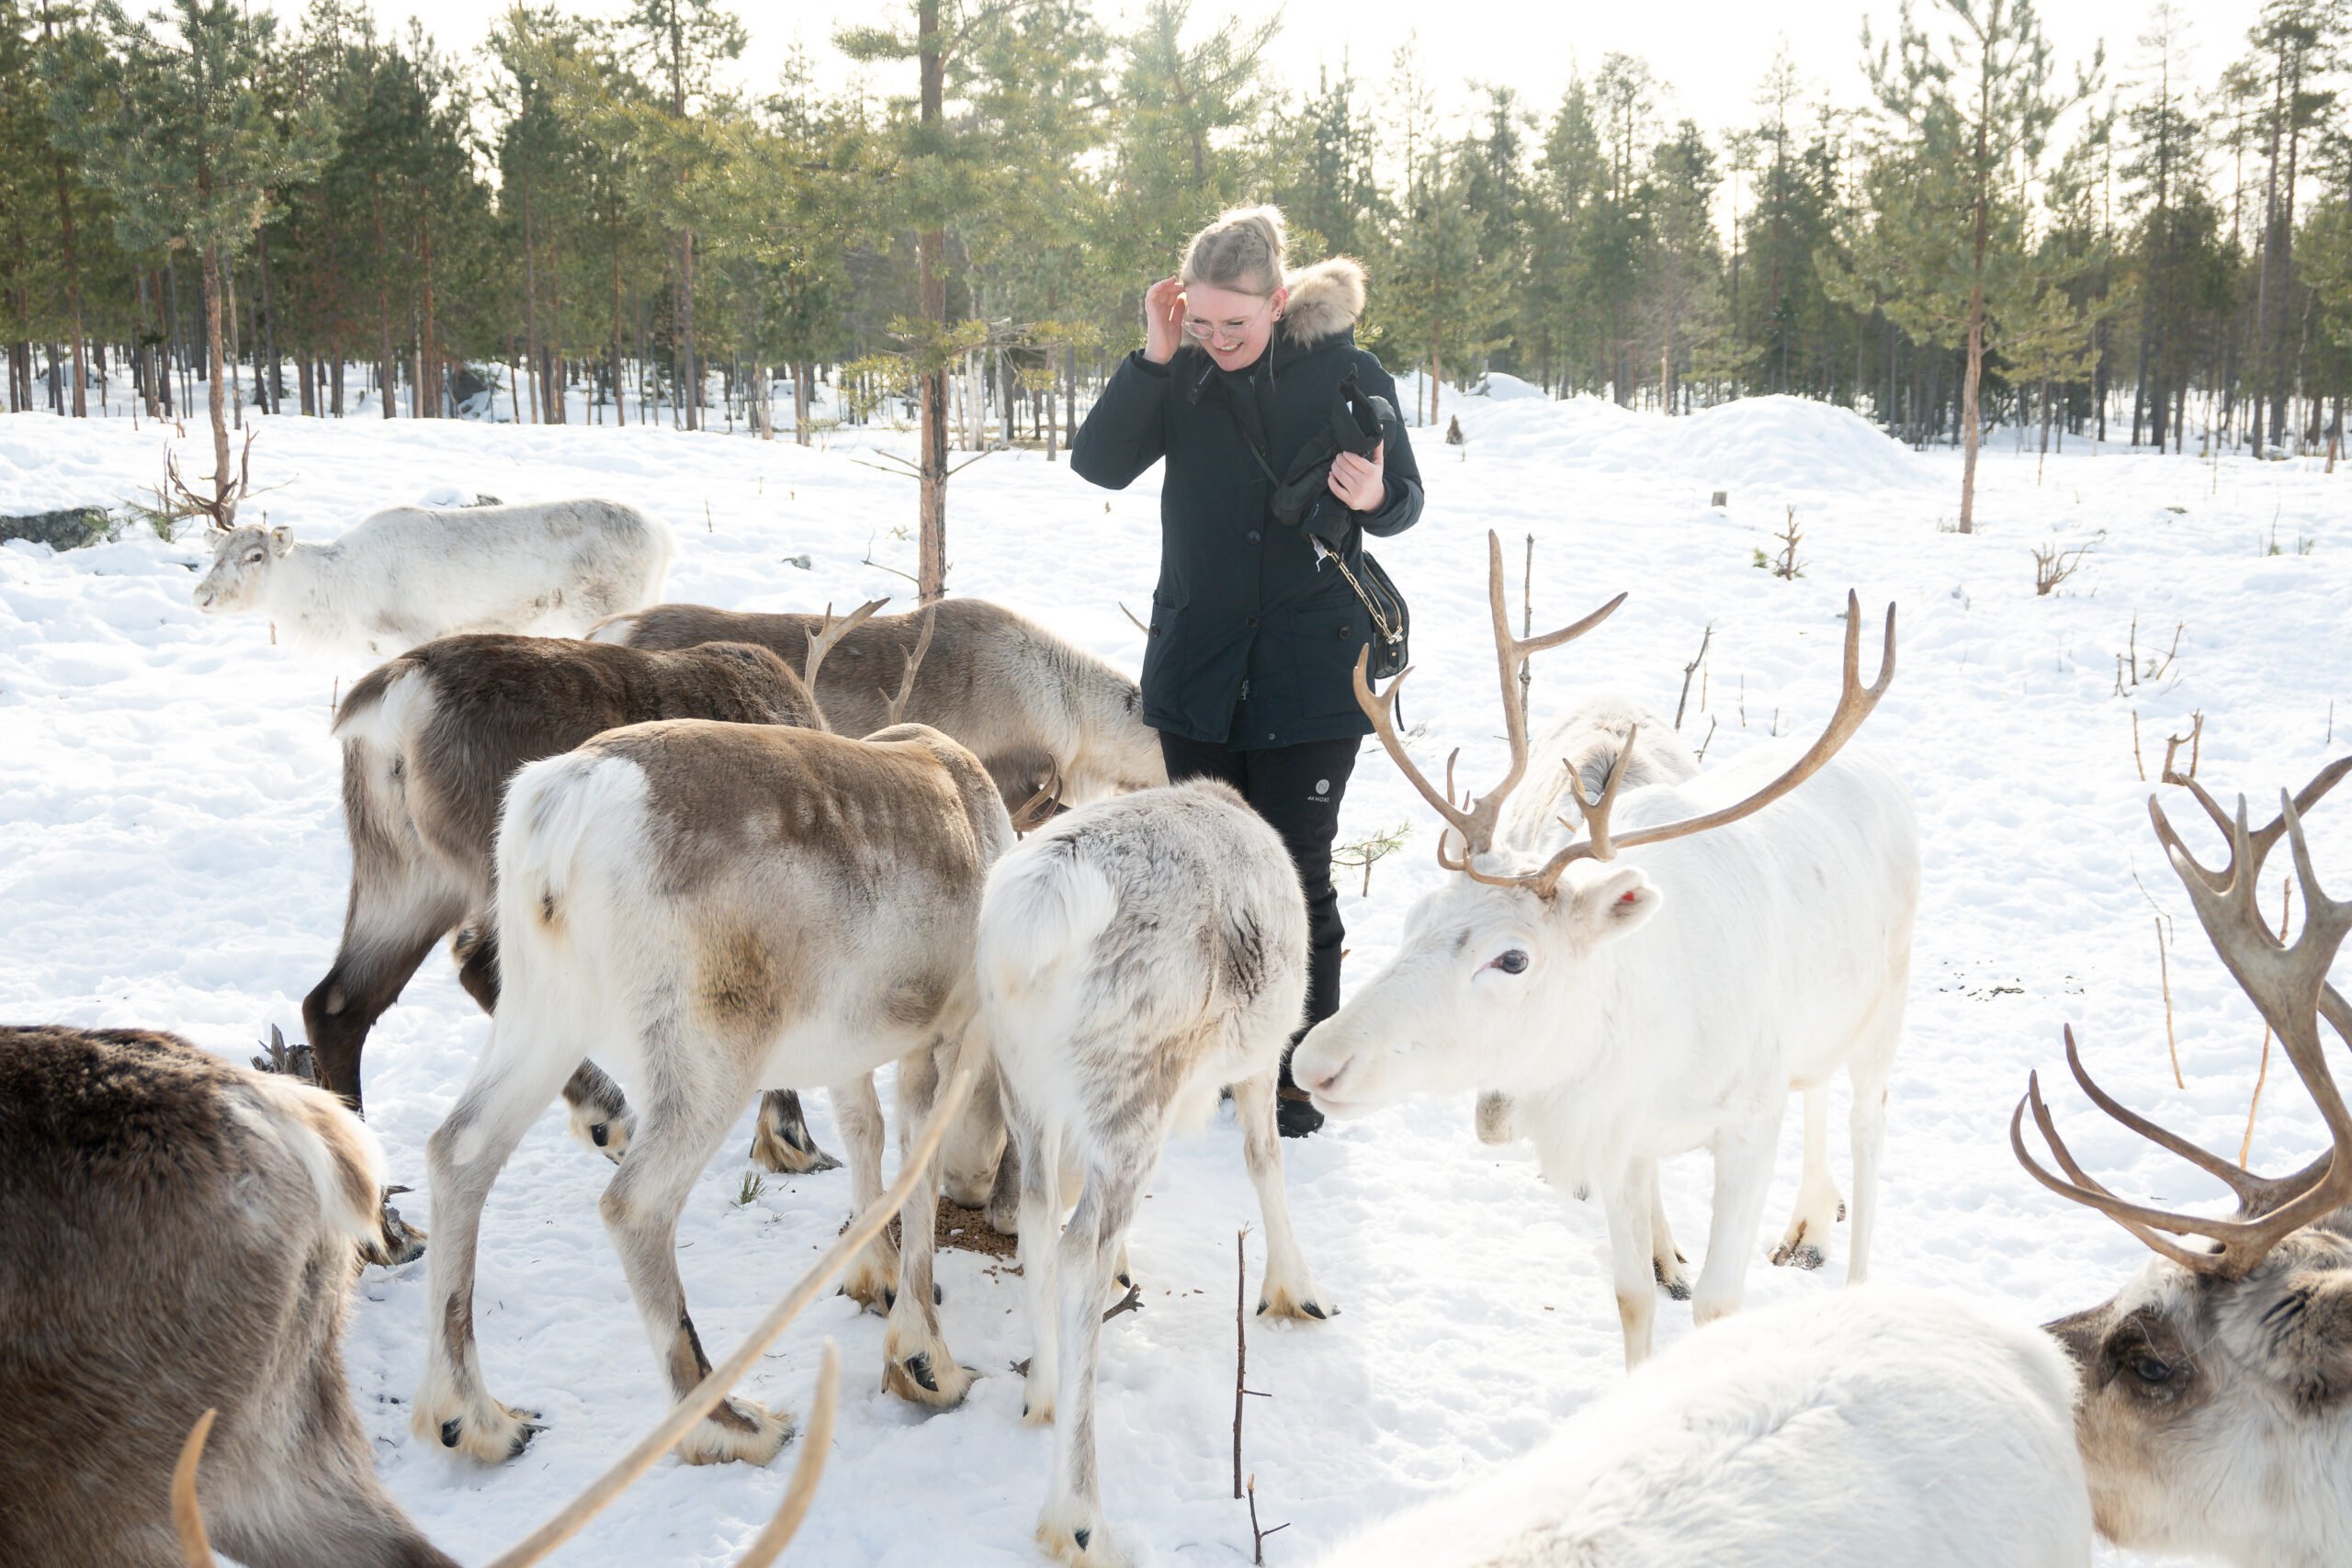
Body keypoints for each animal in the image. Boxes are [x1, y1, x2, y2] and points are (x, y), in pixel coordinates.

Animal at [194, 498, 671, 661]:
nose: (201, 596)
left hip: (604, 607)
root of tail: (664, 536)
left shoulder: (418, 634)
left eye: (255, 556)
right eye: (214, 554)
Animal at [413, 699, 1027, 1466]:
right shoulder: (952, 1032)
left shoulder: (850, 1046)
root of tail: (573, 795)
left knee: (458, 1152)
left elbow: (867, 1132)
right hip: (709, 1060)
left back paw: (476, 1416)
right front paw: (926, 1362)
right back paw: (727, 1422)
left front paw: (876, 1276)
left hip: (541, 1015)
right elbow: (916, 1162)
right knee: (634, 1204)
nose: (980, 1191)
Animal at [976, 778, 1332, 1567]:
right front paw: (1296, 1292)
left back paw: (1044, 1392)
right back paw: (1078, 1517)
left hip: (1026, 1086)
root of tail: (1041, 907)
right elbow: (1264, 1161)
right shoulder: (1261, 1059)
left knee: (1037, 1218)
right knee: (1079, 1246)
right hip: (1133, 1089)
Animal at [1291, 532, 1917, 1368]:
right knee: (1816, 1082)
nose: (1316, 1059)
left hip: (1888, 1009)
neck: (1640, 1048)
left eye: (1514, 957)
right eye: (1417, 914)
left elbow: (1717, 1304)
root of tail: (1880, 763)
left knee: (1867, 1125)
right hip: (1821, 1016)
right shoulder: (1623, 1140)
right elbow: (1632, 1296)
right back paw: (1812, 1218)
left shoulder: (1748, 1124)